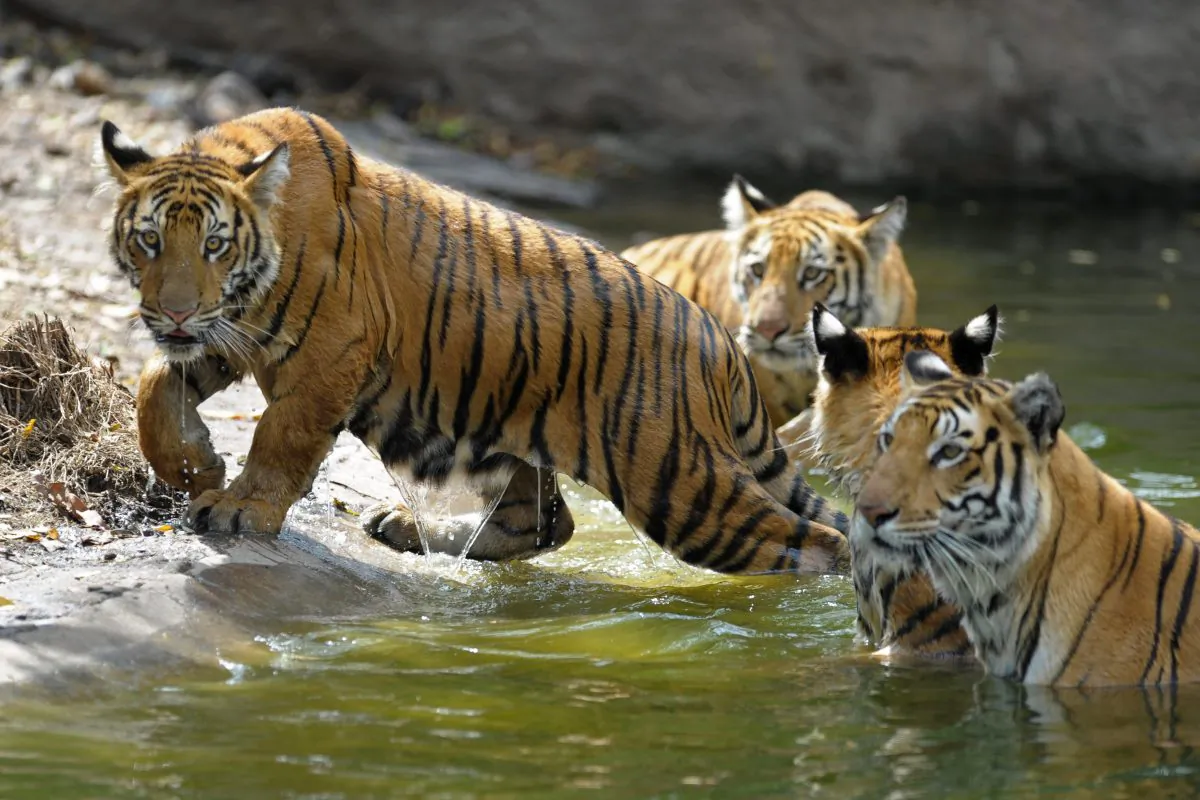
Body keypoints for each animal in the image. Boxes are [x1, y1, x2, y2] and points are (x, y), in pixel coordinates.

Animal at [99, 107, 850, 575]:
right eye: (150, 240)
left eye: (216, 244)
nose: (171, 313)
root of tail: (721, 338)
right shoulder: (225, 331)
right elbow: (155, 387)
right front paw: (194, 466)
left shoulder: (330, 350)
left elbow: (280, 435)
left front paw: (238, 507)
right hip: (504, 439)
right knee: (547, 521)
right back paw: (406, 529)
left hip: (679, 479)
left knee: (818, 540)